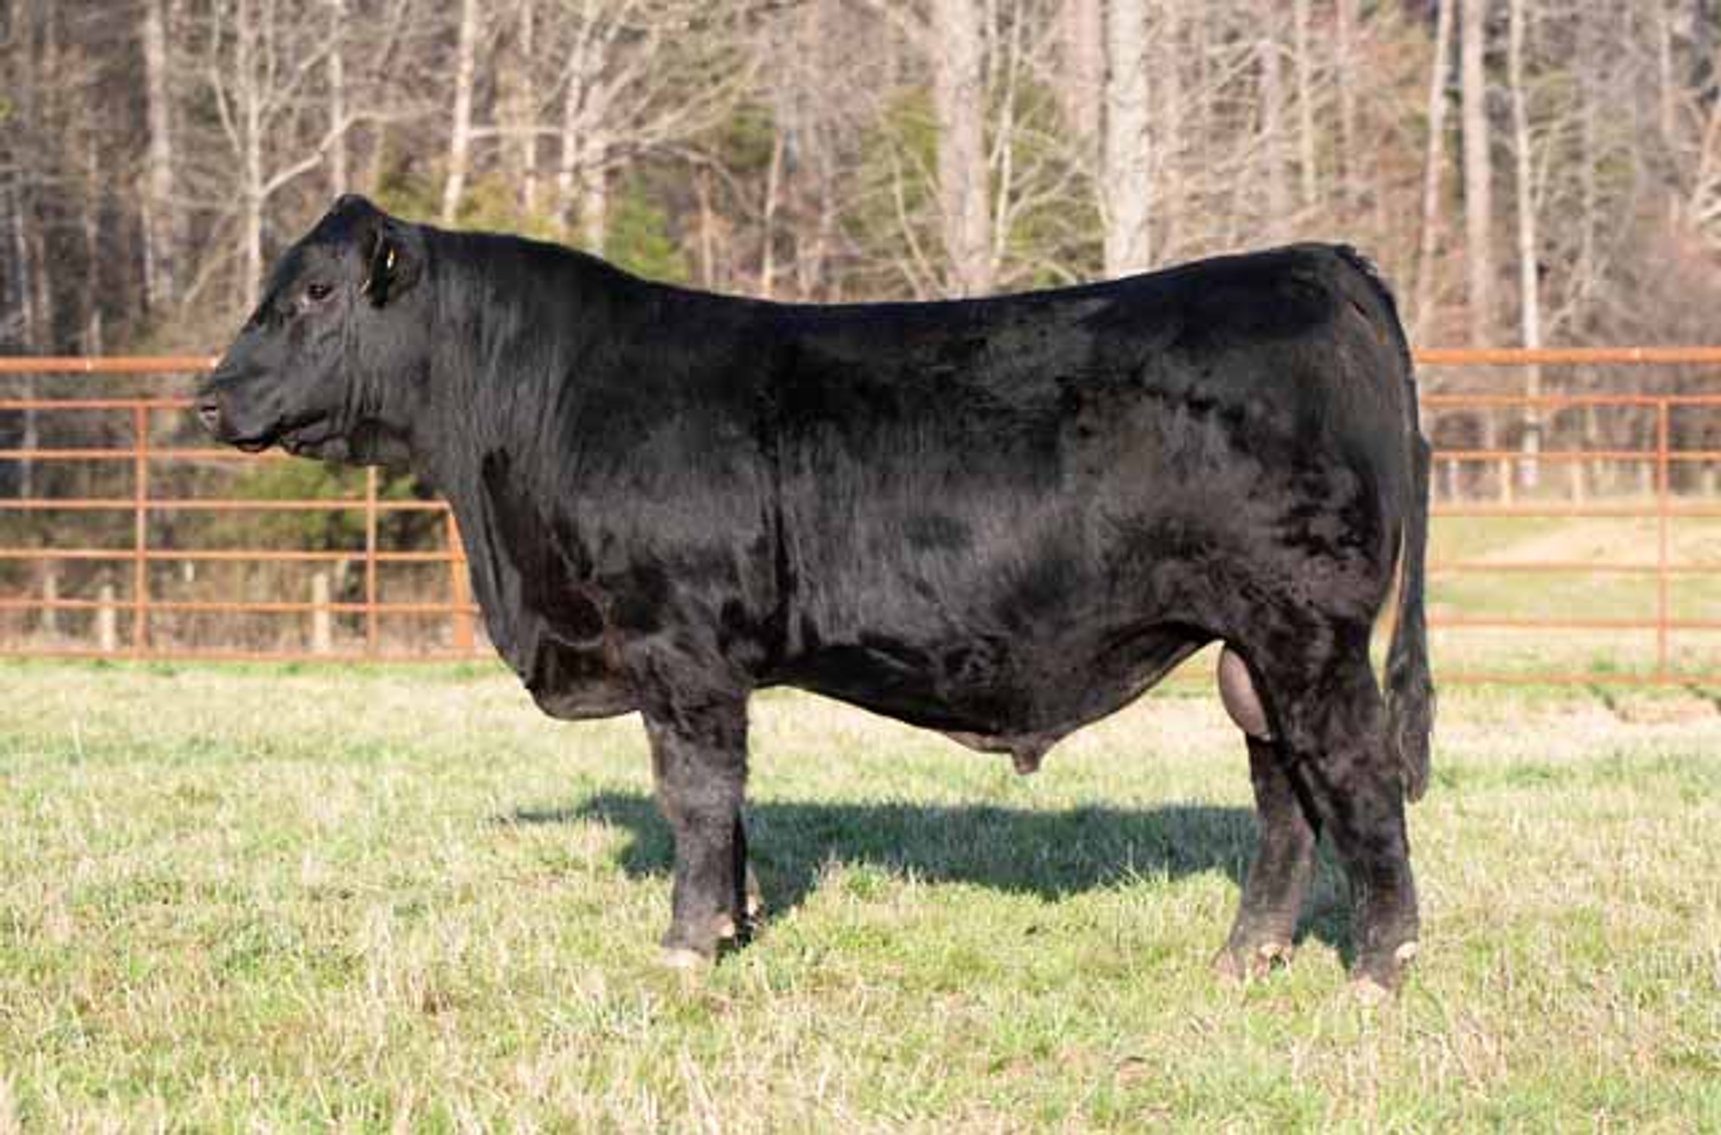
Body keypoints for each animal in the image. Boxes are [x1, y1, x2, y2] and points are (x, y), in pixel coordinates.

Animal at [199, 195, 1434, 997]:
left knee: (1354, 774)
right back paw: (1242, 958)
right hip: (1250, 644)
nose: (209, 397)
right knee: (1282, 789)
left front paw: (687, 948)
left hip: (1306, 627)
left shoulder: (677, 644)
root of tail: (1313, 262)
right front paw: (734, 928)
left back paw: (1377, 969)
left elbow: (697, 796)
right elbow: (728, 805)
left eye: (313, 292)